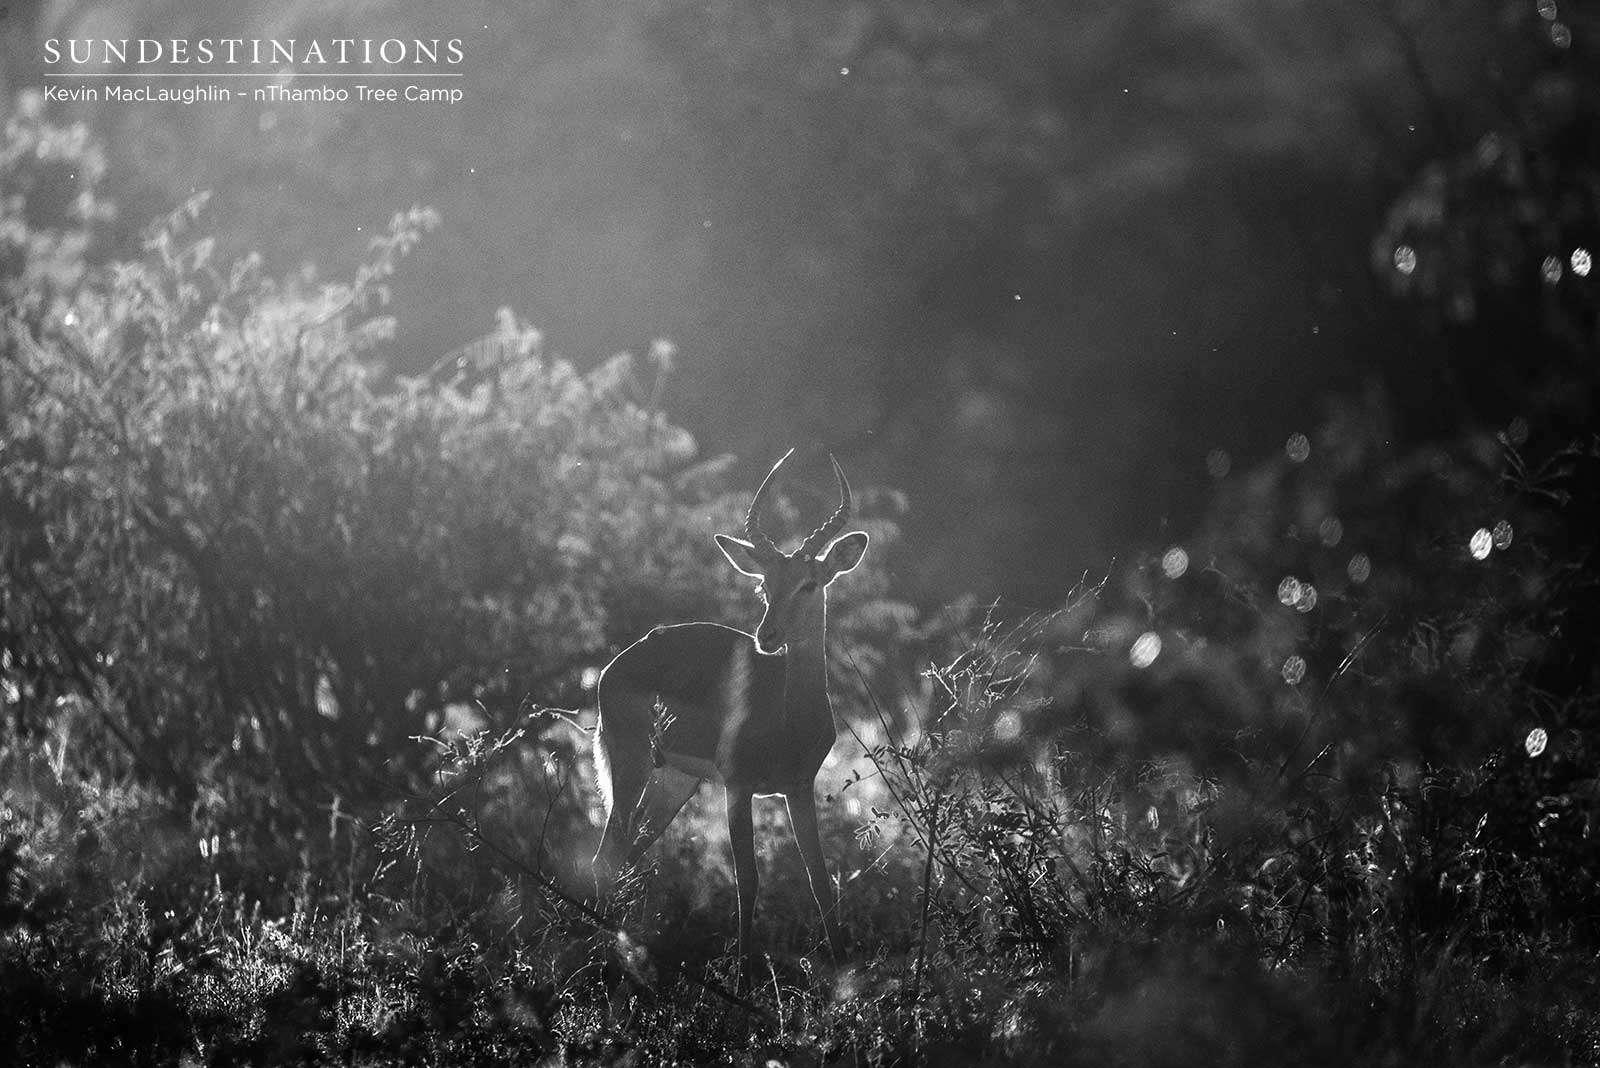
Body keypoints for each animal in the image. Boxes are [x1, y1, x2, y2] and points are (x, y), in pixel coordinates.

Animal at [591, 449, 867, 973]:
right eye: (764, 585)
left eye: (810, 583)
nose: (767, 636)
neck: (788, 722)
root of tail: (620, 661)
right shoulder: (738, 788)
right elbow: (748, 881)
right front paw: (742, 979)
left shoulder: (798, 787)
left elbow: (820, 881)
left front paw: (845, 971)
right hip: (630, 765)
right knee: (605, 856)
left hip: (673, 781)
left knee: (628, 853)